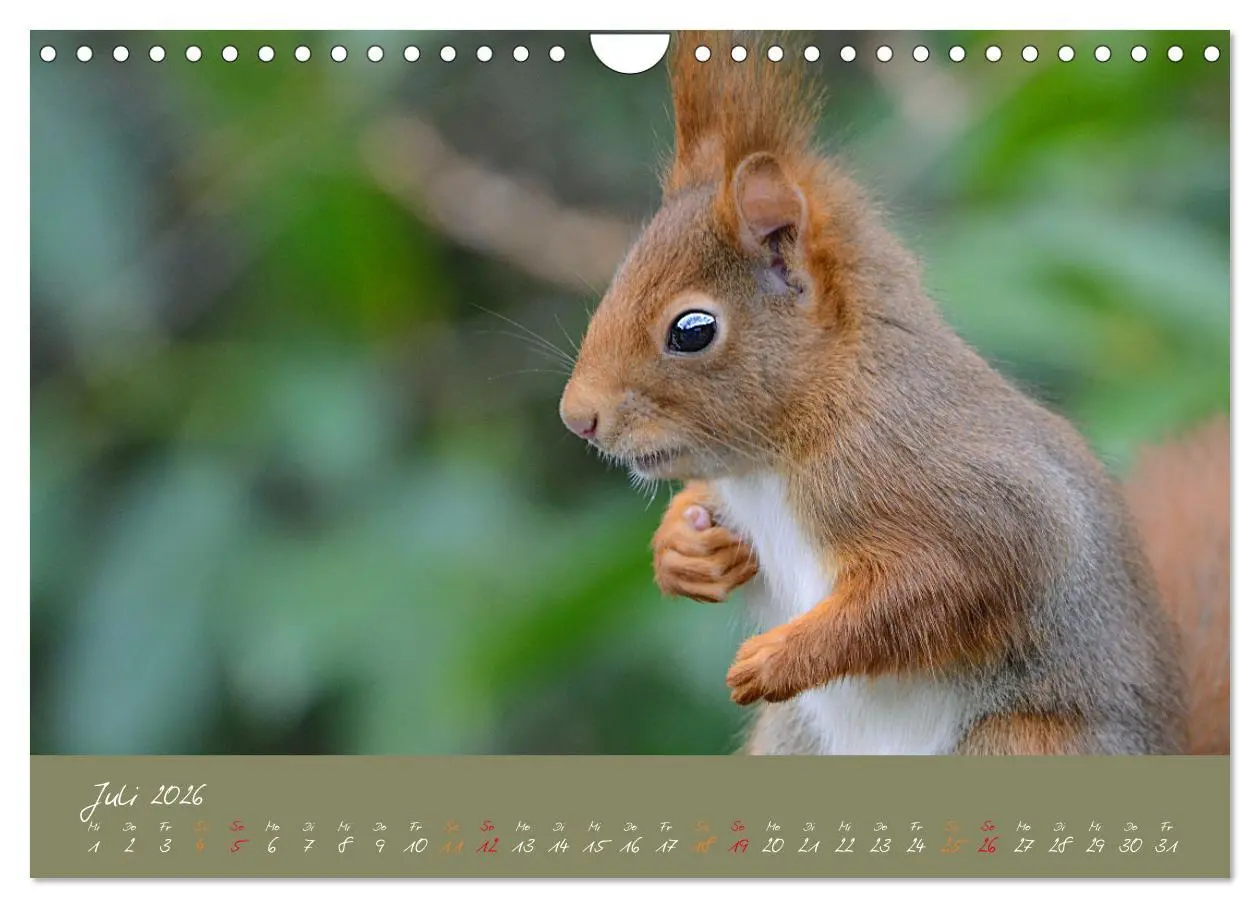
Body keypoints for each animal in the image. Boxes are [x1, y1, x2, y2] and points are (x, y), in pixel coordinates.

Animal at [558, 32, 1229, 755]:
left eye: (692, 330)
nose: (578, 418)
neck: (779, 458)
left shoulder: (963, 494)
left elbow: (936, 588)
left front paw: (780, 656)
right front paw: (684, 550)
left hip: (1019, 742)